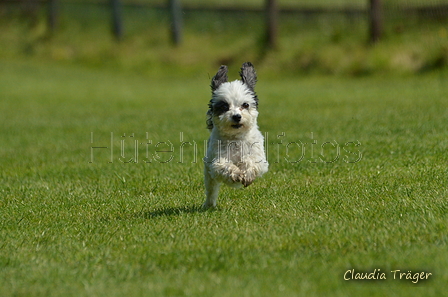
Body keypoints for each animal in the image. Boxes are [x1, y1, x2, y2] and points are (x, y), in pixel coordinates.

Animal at [204, 61, 270, 207]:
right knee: (211, 189)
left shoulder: (259, 157)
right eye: (224, 106)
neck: (236, 138)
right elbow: (223, 165)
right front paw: (236, 173)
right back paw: (209, 204)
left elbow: (251, 161)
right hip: (208, 173)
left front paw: (247, 173)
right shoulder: (216, 161)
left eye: (245, 105)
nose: (236, 116)